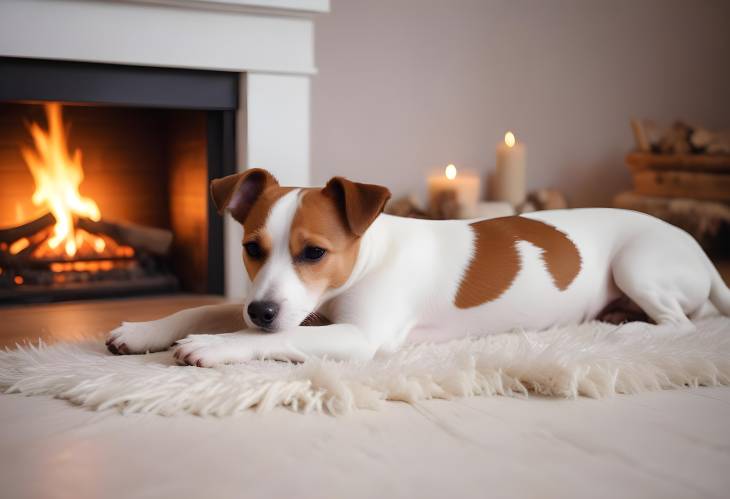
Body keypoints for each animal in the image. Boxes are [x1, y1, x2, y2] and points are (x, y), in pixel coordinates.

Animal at [106, 168, 728, 368]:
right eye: (252, 247)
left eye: (314, 253)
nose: (260, 311)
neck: (370, 257)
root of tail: (698, 250)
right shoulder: (286, 305)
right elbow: (203, 308)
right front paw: (144, 331)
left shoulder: (359, 336)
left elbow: (263, 336)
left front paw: (212, 346)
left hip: (638, 265)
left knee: (681, 324)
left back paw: (623, 330)